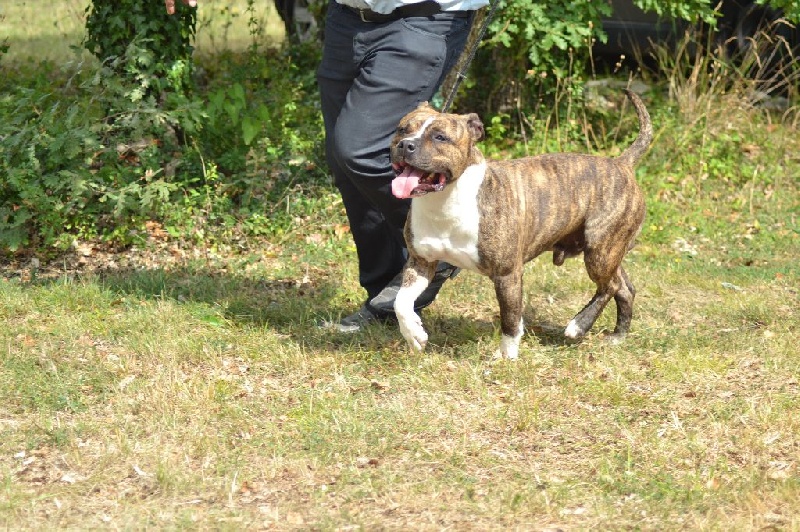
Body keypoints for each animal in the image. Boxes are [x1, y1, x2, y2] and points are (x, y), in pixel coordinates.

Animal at [390, 89, 652, 359]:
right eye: (401, 129)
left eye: (440, 137)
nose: (406, 144)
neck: (444, 201)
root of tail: (622, 163)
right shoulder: (421, 262)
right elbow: (401, 301)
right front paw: (414, 333)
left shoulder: (508, 274)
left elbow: (510, 318)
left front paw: (507, 356)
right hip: (610, 252)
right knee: (624, 287)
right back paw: (618, 337)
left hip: (600, 252)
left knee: (610, 286)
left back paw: (579, 325)